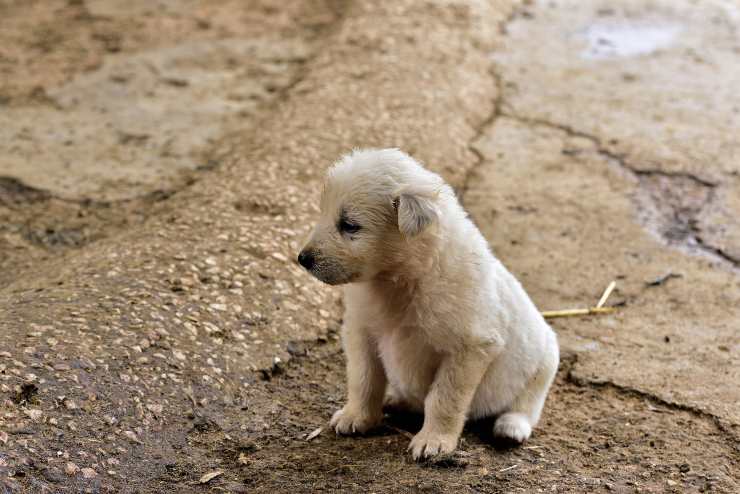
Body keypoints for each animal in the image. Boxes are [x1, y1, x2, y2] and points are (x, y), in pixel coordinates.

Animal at [298, 150, 556, 460]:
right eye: (323, 213)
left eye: (349, 225)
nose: (302, 259)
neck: (401, 279)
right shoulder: (361, 330)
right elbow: (363, 378)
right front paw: (356, 417)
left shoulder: (471, 347)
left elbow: (444, 397)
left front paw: (434, 441)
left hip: (545, 363)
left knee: (527, 405)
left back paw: (510, 427)